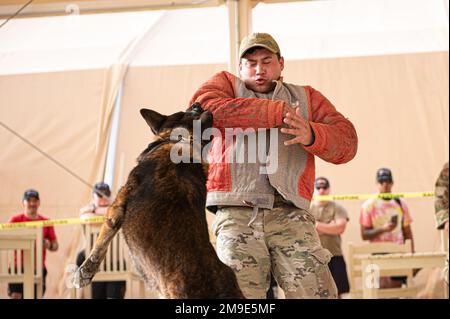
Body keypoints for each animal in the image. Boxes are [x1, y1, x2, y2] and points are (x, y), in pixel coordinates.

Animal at [72, 103, 244, 300]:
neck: (178, 140)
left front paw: (84, 272)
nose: (197, 104)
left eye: (188, 110)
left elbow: (101, 241)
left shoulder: (117, 203)